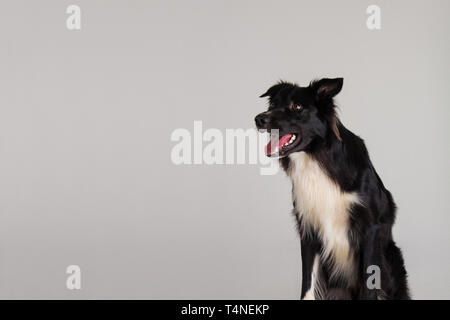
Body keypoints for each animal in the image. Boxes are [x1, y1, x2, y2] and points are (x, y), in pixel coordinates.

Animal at [255, 78, 410, 300]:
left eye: (297, 107)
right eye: (273, 105)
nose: (259, 119)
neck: (317, 159)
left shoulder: (369, 227)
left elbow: (369, 285)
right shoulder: (308, 228)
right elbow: (307, 283)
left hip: (391, 257)